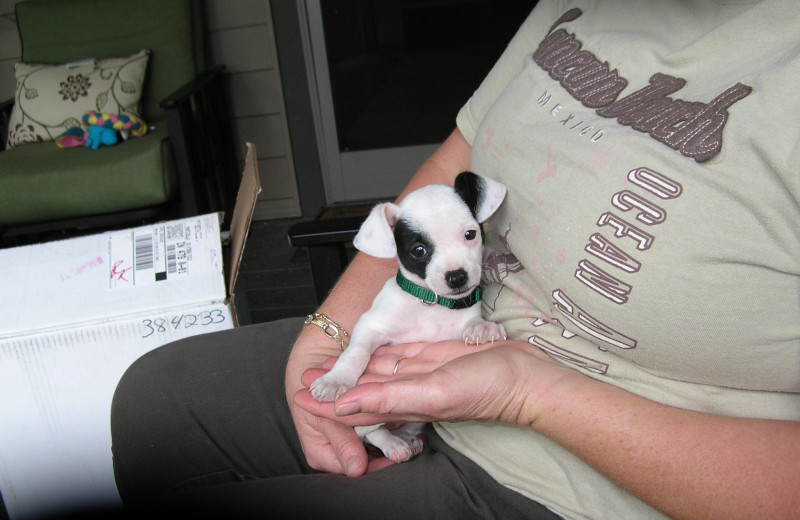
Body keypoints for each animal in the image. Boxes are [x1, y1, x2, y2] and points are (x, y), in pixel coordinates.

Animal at [310, 172, 506, 464]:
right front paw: (335, 380)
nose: (457, 277)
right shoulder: (370, 326)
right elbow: (355, 353)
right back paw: (393, 443)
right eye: (419, 251)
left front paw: (482, 328)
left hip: (415, 421)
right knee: (371, 431)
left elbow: (471, 323)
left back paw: (405, 439)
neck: (429, 304)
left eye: (470, 235)